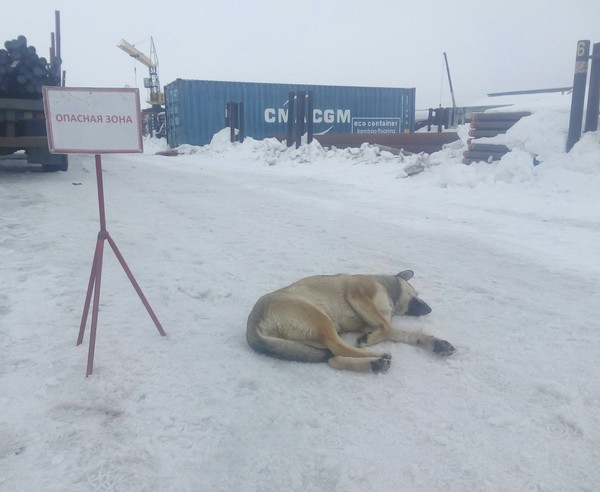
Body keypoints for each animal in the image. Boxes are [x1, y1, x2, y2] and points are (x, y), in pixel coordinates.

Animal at [246, 270, 452, 372]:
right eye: (416, 293)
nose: (429, 309)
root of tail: (252, 323)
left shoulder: (372, 322)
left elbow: (404, 333)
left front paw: (436, 343)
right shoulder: (358, 294)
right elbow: (386, 327)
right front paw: (367, 340)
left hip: (312, 336)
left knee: (332, 358)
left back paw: (373, 364)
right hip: (320, 318)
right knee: (339, 348)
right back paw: (378, 356)